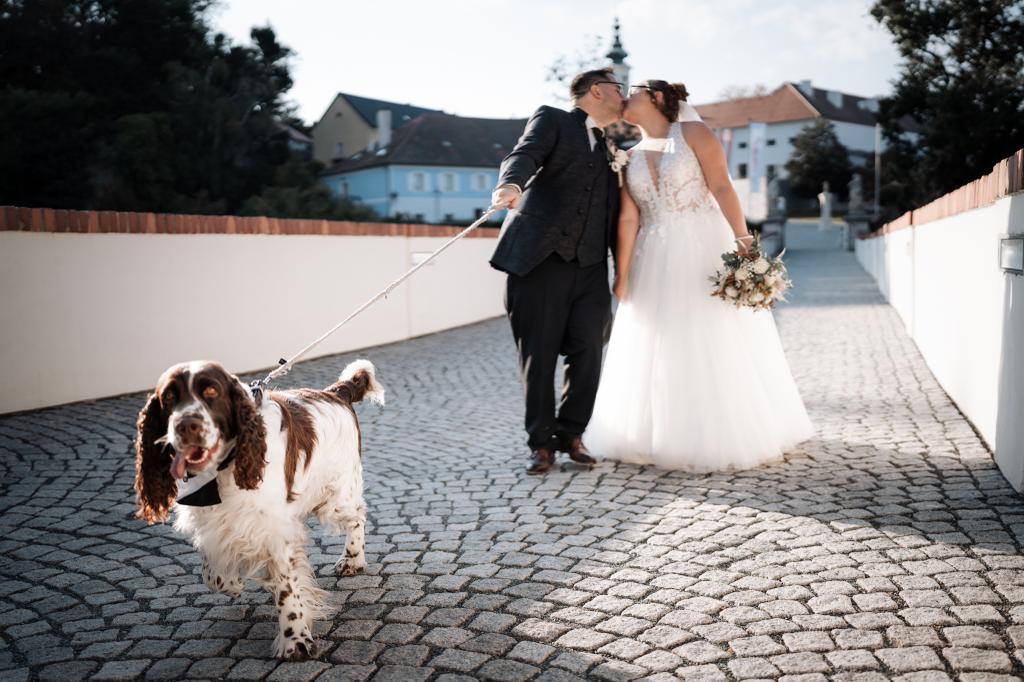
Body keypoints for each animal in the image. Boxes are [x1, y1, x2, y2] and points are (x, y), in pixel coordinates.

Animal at [132, 358, 380, 655]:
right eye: (169, 397)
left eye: (211, 392)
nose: (186, 425)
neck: (222, 470)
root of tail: (336, 393)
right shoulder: (213, 520)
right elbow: (213, 575)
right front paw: (233, 582)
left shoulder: (274, 529)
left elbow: (287, 588)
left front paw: (295, 640)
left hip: (334, 498)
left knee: (358, 517)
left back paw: (352, 560)